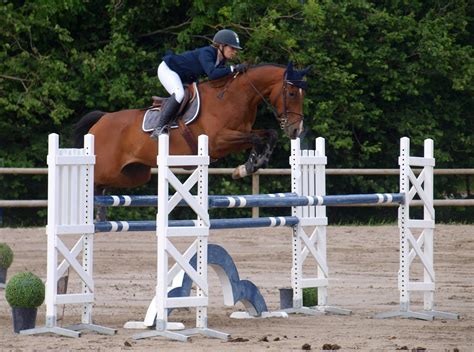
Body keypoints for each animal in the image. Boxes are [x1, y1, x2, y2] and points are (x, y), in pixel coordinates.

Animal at [73, 62, 312, 191]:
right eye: (292, 93)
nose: (296, 130)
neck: (234, 97)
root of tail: (102, 119)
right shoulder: (218, 141)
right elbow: (256, 138)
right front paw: (250, 164)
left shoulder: (241, 132)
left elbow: (268, 135)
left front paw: (250, 165)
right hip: (105, 169)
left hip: (132, 175)